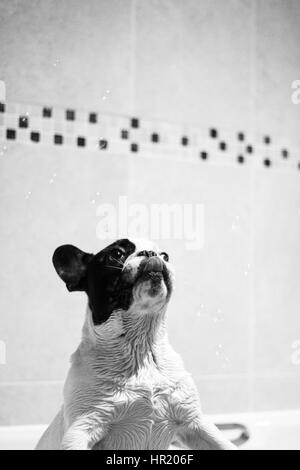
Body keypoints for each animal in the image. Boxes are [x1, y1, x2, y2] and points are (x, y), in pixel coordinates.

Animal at [35, 241, 234, 450]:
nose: (151, 253)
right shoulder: (82, 427)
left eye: (165, 255)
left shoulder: (195, 422)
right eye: (117, 253)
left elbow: (224, 444)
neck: (140, 345)